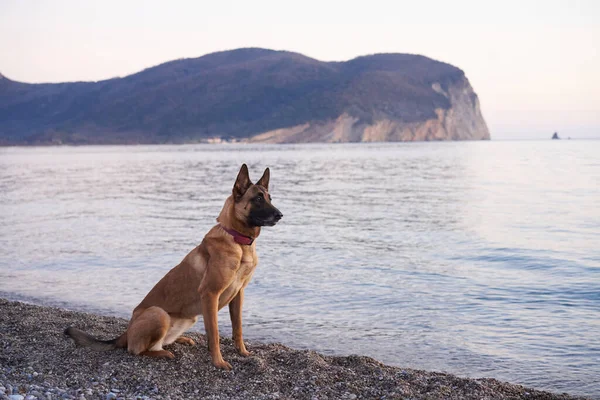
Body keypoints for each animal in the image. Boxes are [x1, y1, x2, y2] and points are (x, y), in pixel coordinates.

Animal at [64, 163, 284, 368]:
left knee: (161, 342)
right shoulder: (210, 294)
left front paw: (243, 352)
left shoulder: (238, 294)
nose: (280, 215)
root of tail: (125, 332)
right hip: (159, 314)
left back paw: (181, 340)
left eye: (270, 198)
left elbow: (237, 328)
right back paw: (163, 353)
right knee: (136, 349)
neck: (237, 240)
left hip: (188, 319)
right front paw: (218, 362)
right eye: (258, 199)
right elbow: (214, 333)